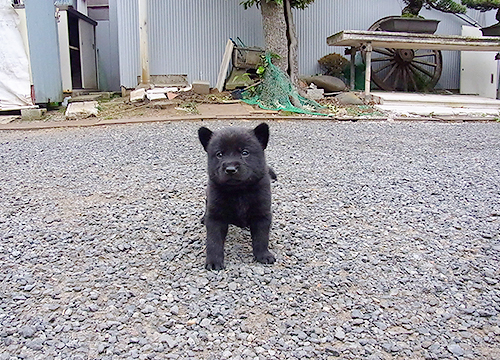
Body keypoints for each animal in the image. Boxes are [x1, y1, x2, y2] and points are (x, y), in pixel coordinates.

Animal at [199, 122, 278, 268]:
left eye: (245, 152)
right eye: (219, 154)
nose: (230, 169)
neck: (239, 191)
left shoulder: (262, 215)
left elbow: (261, 238)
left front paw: (263, 255)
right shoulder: (216, 217)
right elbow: (213, 241)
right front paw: (214, 262)